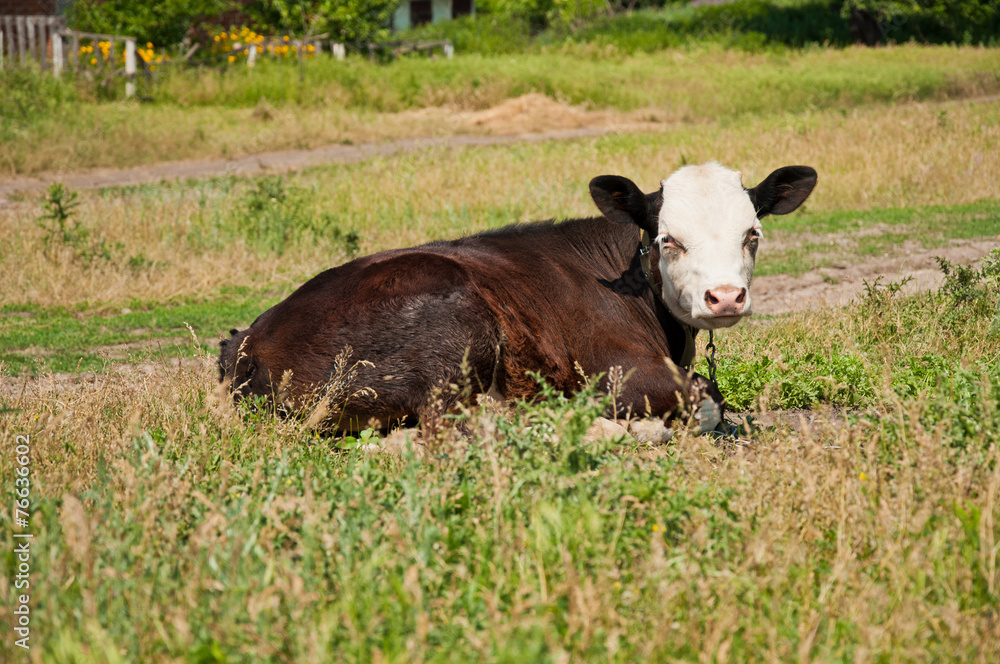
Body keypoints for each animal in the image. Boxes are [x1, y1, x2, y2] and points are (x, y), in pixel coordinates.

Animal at [219, 162, 817, 433]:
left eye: (752, 234)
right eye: (669, 239)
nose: (725, 297)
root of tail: (250, 340)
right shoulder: (621, 372)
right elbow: (707, 400)